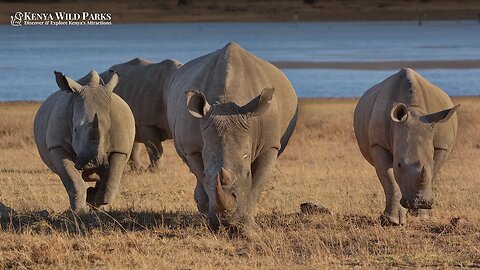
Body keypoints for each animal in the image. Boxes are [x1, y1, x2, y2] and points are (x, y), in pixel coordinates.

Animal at [34, 70, 135, 213]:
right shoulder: (57, 146)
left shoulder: (121, 149)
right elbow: (73, 181)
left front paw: (100, 204)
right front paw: (78, 212)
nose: (92, 163)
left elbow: (111, 180)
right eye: (75, 130)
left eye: (109, 131)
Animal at [354, 68, 460, 226]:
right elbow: (390, 181)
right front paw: (392, 221)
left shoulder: (442, 146)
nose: (419, 202)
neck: (414, 109)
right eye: (399, 165)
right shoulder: (378, 144)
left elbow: (432, 172)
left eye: (432, 162)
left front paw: (422, 217)